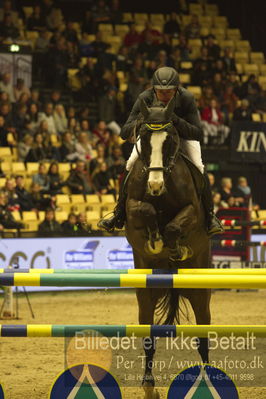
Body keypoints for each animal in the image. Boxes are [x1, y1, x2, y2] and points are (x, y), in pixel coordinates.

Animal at [124, 97, 212, 399]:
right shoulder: (133, 208)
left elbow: (175, 226)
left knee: (203, 333)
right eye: (143, 139)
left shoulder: (193, 211)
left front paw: (173, 247)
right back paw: (149, 385)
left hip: (199, 290)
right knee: (148, 336)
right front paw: (155, 240)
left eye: (171, 139)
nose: (155, 185)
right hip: (145, 294)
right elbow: (145, 210)